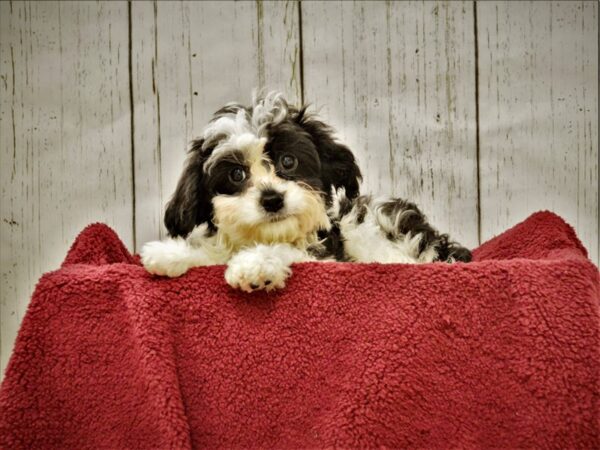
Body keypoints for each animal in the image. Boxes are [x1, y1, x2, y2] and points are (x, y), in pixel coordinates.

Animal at [141, 91, 468, 292]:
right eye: (236, 174)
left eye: (289, 161)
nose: (272, 199)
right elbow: (212, 254)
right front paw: (171, 253)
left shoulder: (328, 261)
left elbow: (291, 252)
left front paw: (255, 265)